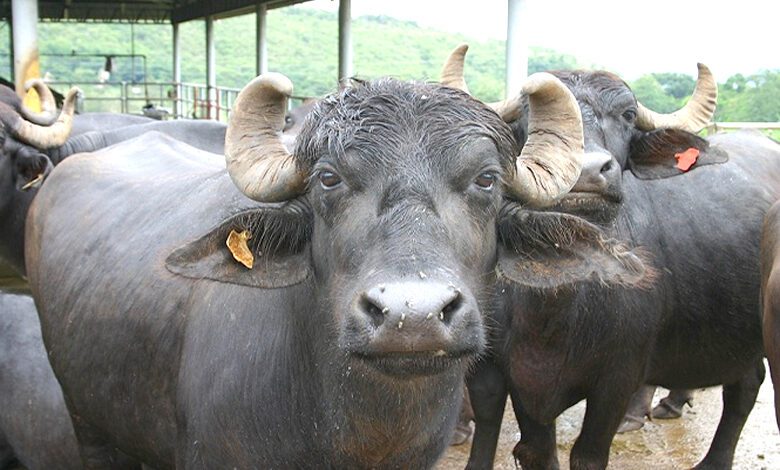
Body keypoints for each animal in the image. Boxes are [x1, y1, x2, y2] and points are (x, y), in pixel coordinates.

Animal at [444, 45, 780, 469]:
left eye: (628, 115)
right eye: (527, 117)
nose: (587, 171)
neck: (556, 307)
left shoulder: (618, 378)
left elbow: (588, 454)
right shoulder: (513, 378)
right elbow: (537, 450)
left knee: (744, 389)